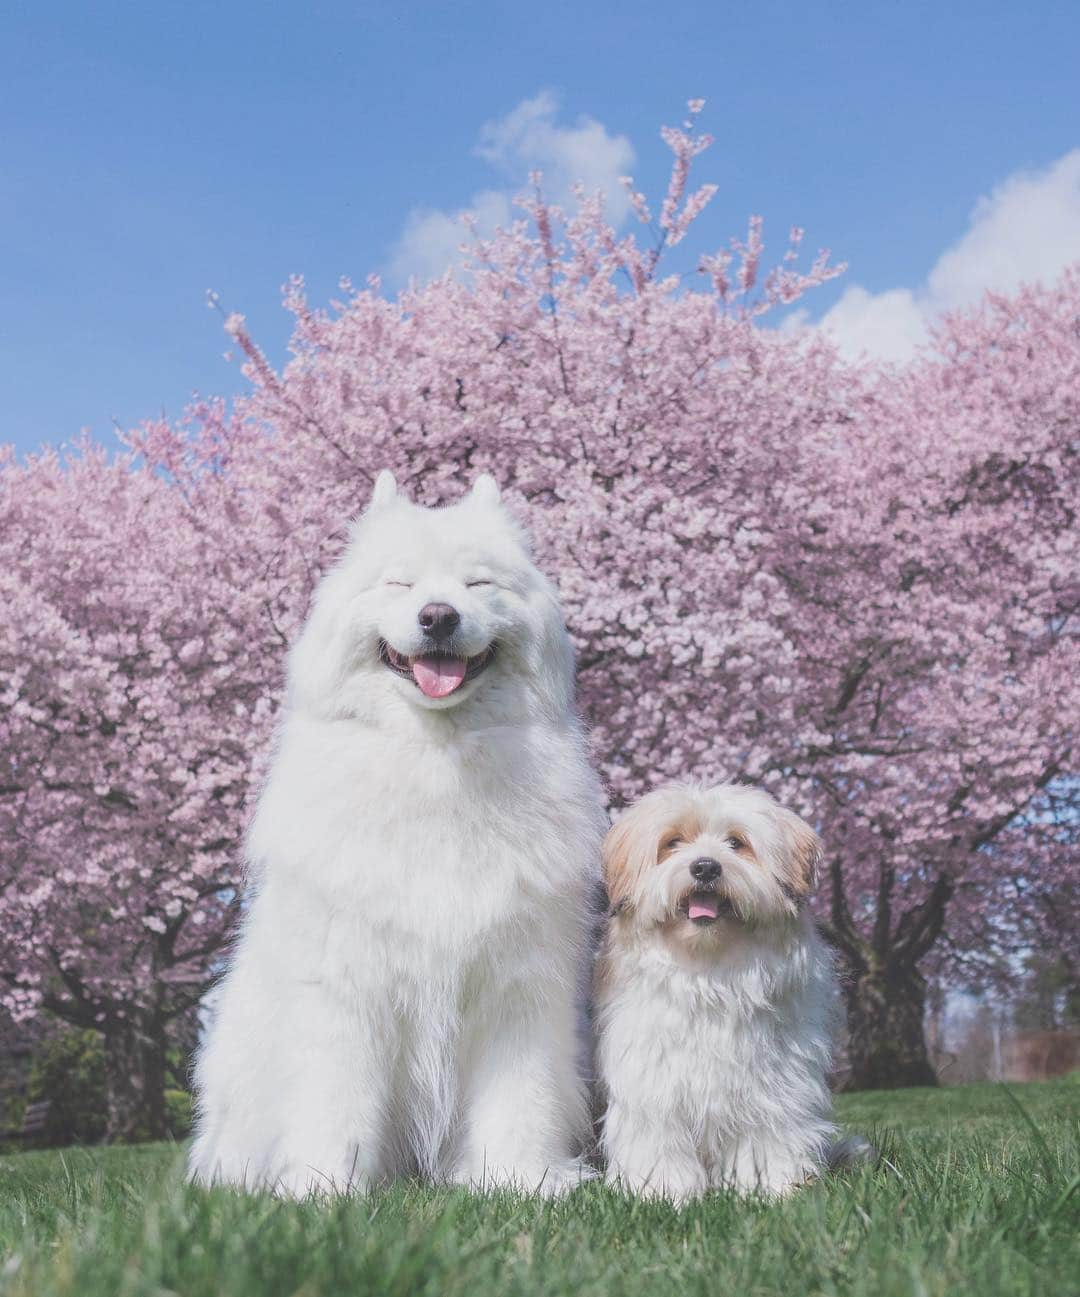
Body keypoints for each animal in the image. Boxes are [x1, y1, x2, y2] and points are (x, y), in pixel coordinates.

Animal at [187, 472, 601, 1198]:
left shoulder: (516, 986)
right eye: (399, 584)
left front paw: (521, 1179)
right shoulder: (348, 986)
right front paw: (323, 1189)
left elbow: (519, 1098)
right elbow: (337, 1100)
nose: (438, 616)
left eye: (478, 583)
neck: (437, 762)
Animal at [593, 778, 840, 1193]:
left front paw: (773, 1188)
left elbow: (767, 1137)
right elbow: (659, 1142)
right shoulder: (654, 1083)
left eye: (736, 843)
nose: (706, 867)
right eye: (673, 842)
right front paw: (662, 1191)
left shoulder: (772, 1083)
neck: (708, 970)